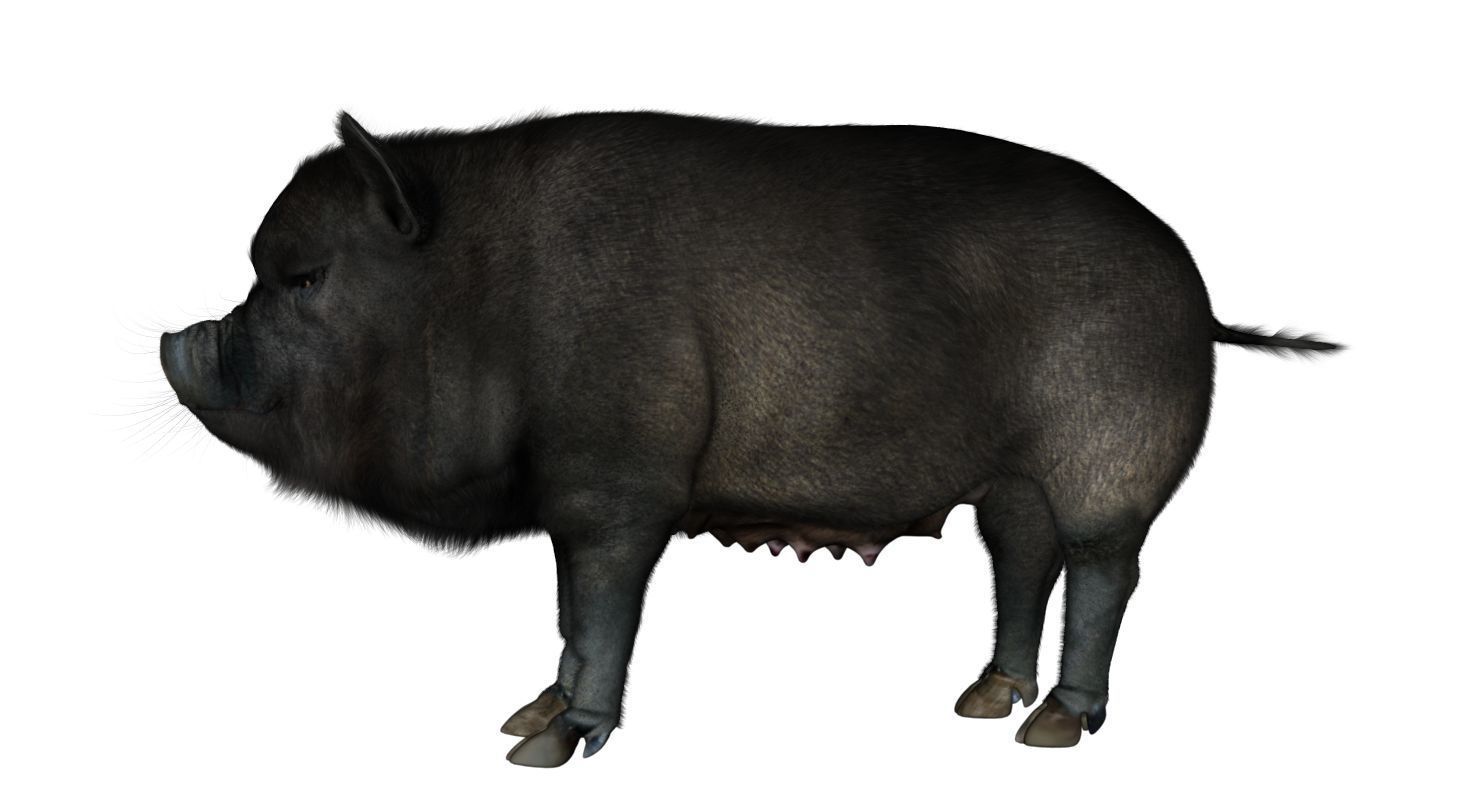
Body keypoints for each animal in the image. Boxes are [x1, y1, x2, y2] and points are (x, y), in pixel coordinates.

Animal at [160, 111, 1341, 767]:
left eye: (304, 277)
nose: (177, 338)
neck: (484, 292)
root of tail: (1197, 294)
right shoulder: (575, 503)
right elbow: (567, 617)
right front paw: (518, 717)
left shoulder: (617, 490)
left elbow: (601, 613)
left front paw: (543, 746)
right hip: (1008, 481)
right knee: (1022, 559)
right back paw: (980, 701)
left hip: (1108, 457)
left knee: (1104, 569)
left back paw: (1051, 727)